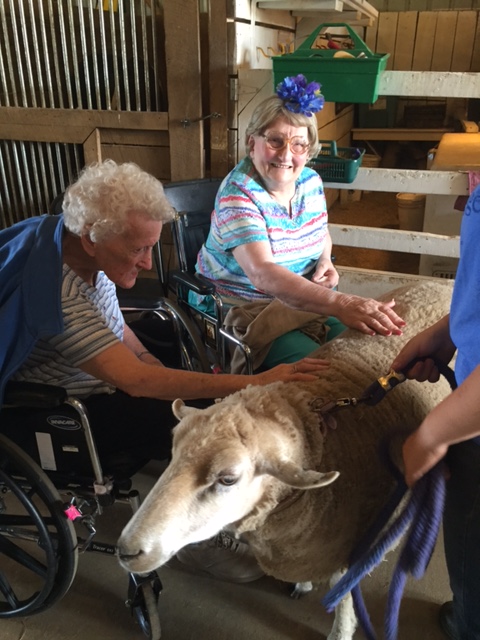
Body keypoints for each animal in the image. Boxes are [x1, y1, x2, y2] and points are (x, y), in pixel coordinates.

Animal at [116, 282, 454, 640]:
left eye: (228, 478)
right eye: (173, 453)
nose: (127, 551)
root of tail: (441, 283)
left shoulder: (354, 541)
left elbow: (344, 591)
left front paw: (341, 630)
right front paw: (303, 584)